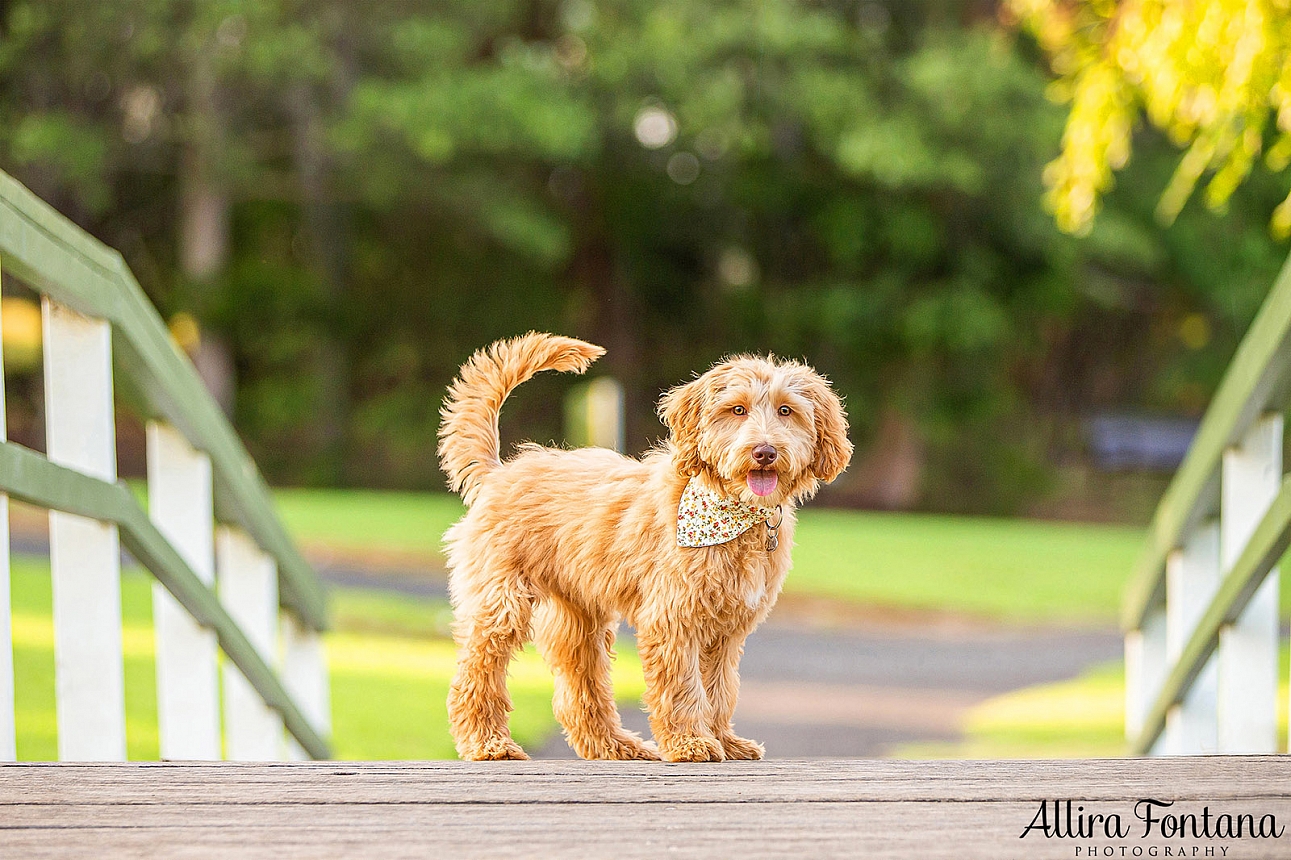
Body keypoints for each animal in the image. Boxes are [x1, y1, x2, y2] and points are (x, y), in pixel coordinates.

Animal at [438, 330, 852, 759]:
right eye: (737, 410)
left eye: (786, 411)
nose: (765, 452)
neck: (734, 515)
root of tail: (498, 474)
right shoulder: (673, 617)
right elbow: (683, 686)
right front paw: (691, 743)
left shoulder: (727, 630)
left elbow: (720, 689)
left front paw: (723, 740)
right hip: (501, 603)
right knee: (474, 676)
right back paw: (490, 744)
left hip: (579, 618)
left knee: (580, 691)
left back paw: (616, 746)